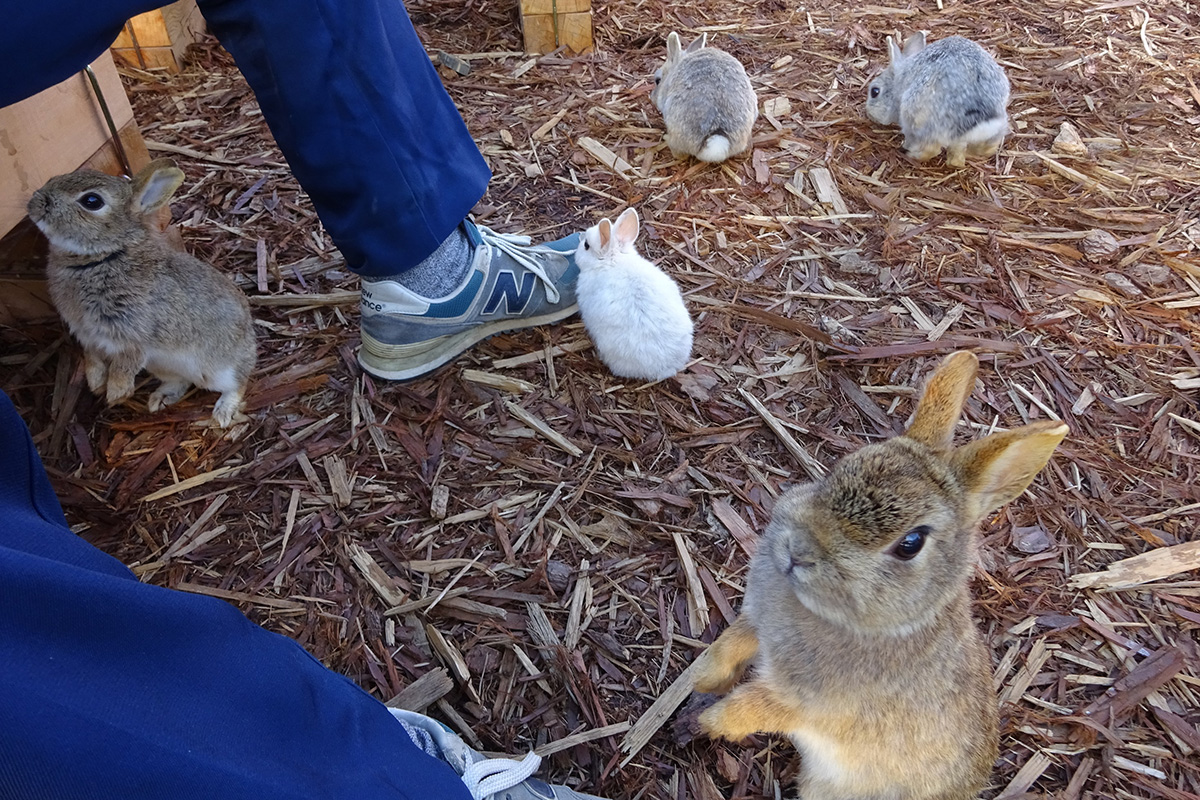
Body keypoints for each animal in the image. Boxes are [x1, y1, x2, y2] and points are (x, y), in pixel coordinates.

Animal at [27, 158, 258, 429]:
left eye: (92, 201)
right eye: (53, 178)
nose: (35, 202)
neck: (104, 256)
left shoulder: (134, 335)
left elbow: (125, 364)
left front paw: (116, 394)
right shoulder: (88, 336)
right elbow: (92, 359)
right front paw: (96, 385)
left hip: (218, 369)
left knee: (238, 383)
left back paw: (223, 411)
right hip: (163, 366)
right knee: (181, 381)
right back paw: (161, 399)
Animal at [696, 352, 1070, 800]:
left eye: (910, 543)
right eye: (840, 467)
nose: (796, 552)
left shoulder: (803, 702)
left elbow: (756, 705)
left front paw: (709, 722)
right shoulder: (755, 621)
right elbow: (730, 645)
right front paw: (702, 682)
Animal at [868, 32, 1008, 167]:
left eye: (875, 92)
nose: (868, 113)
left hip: (922, 121)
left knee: (932, 150)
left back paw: (912, 154)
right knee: (979, 151)